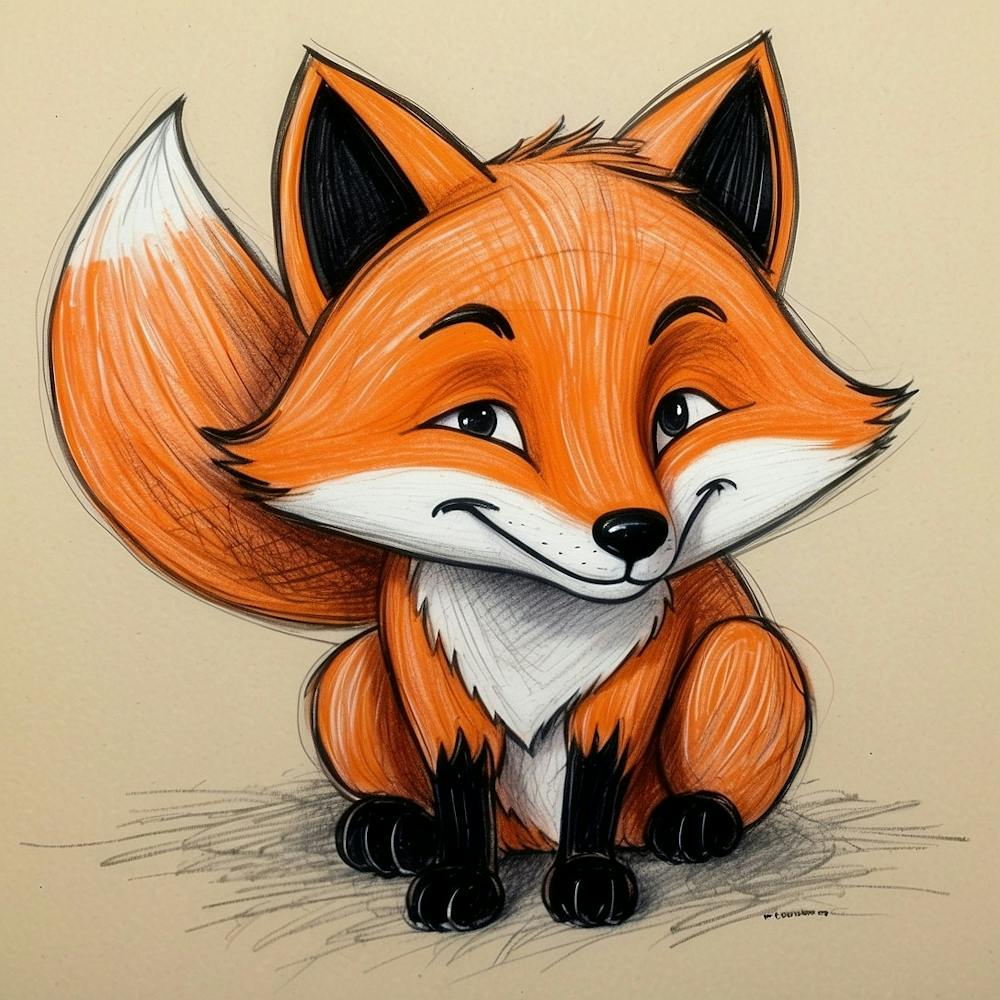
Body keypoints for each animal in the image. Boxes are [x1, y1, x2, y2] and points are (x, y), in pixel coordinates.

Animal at [47, 34, 910, 932]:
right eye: (479, 422)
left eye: (679, 413)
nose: (633, 534)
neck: (535, 636)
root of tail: (526, 838)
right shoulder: (430, 679)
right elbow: (458, 787)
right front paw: (460, 880)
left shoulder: (632, 682)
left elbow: (596, 787)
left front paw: (589, 879)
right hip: (349, 677)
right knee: (403, 783)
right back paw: (392, 828)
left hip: (745, 655)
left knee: (703, 783)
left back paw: (695, 818)